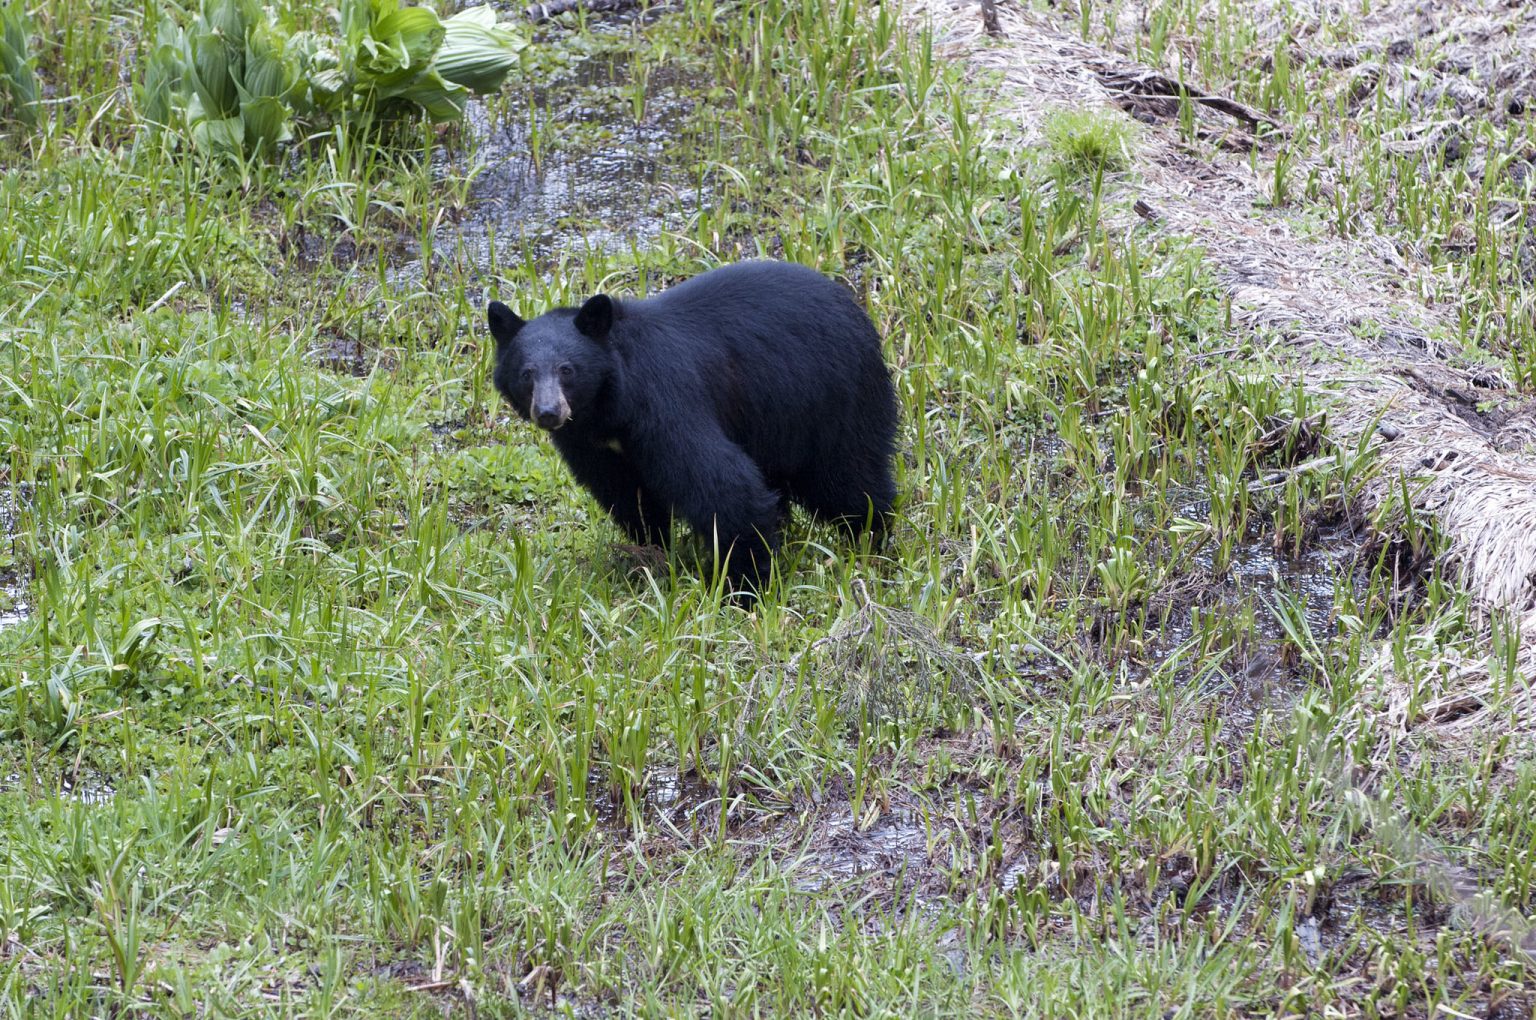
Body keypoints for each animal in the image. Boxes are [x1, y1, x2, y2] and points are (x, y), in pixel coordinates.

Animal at [485, 259, 897, 586]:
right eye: (527, 374)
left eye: (567, 370)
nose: (549, 412)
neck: (606, 411)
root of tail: (856, 309)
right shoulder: (593, 447)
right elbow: (628, 497)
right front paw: (649, 554)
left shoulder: (664, 405)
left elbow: (722, 484)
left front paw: (744, 586)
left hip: (834, 399)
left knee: (848, 478)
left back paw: (871, 540)